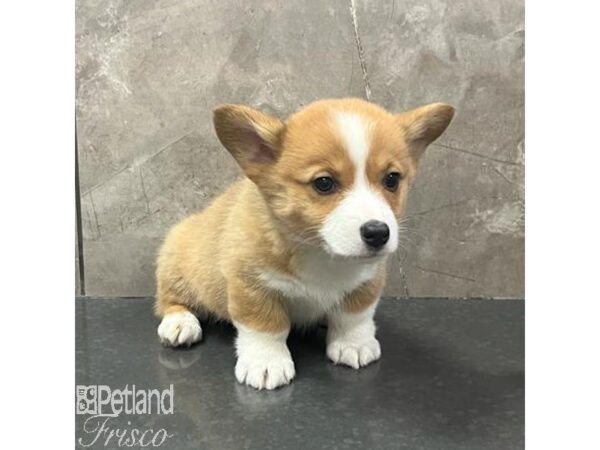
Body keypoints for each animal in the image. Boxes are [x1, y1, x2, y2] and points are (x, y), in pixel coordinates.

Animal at [155, 97, 454, 390]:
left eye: (392, 179)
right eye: (324, 183)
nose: (378, 233)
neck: (320, 252)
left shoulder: (367, 281)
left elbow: (354, 316)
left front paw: (354, 344)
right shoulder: (250, 284)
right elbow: (265, 326)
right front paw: (266, 363)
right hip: (177, 262)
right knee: (170, 300)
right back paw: (180, 324)